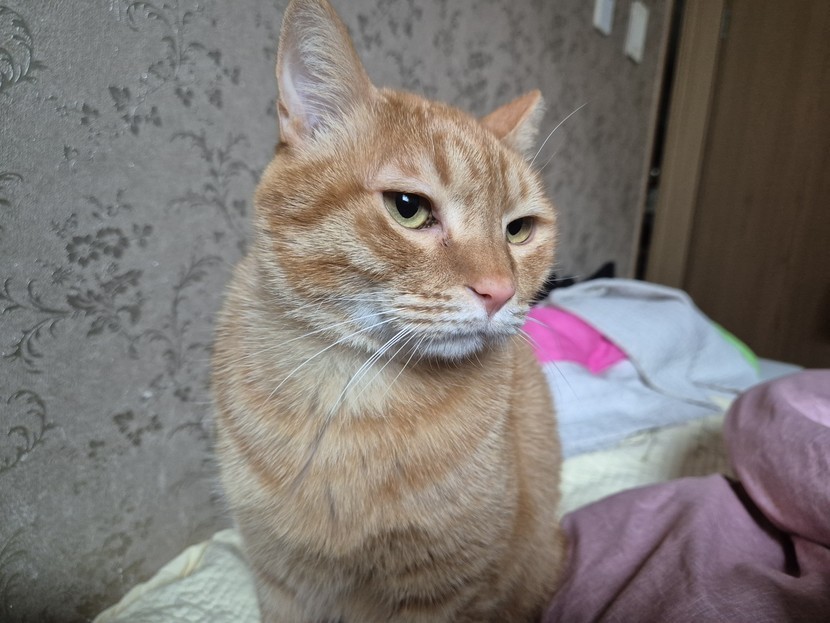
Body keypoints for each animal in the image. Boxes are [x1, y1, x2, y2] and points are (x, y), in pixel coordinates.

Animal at [211, 0, 566, 621]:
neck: (352, 401)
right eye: (408, 208)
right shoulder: (279, 581)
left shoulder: (442, 595)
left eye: (518, 229)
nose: (499, 291)